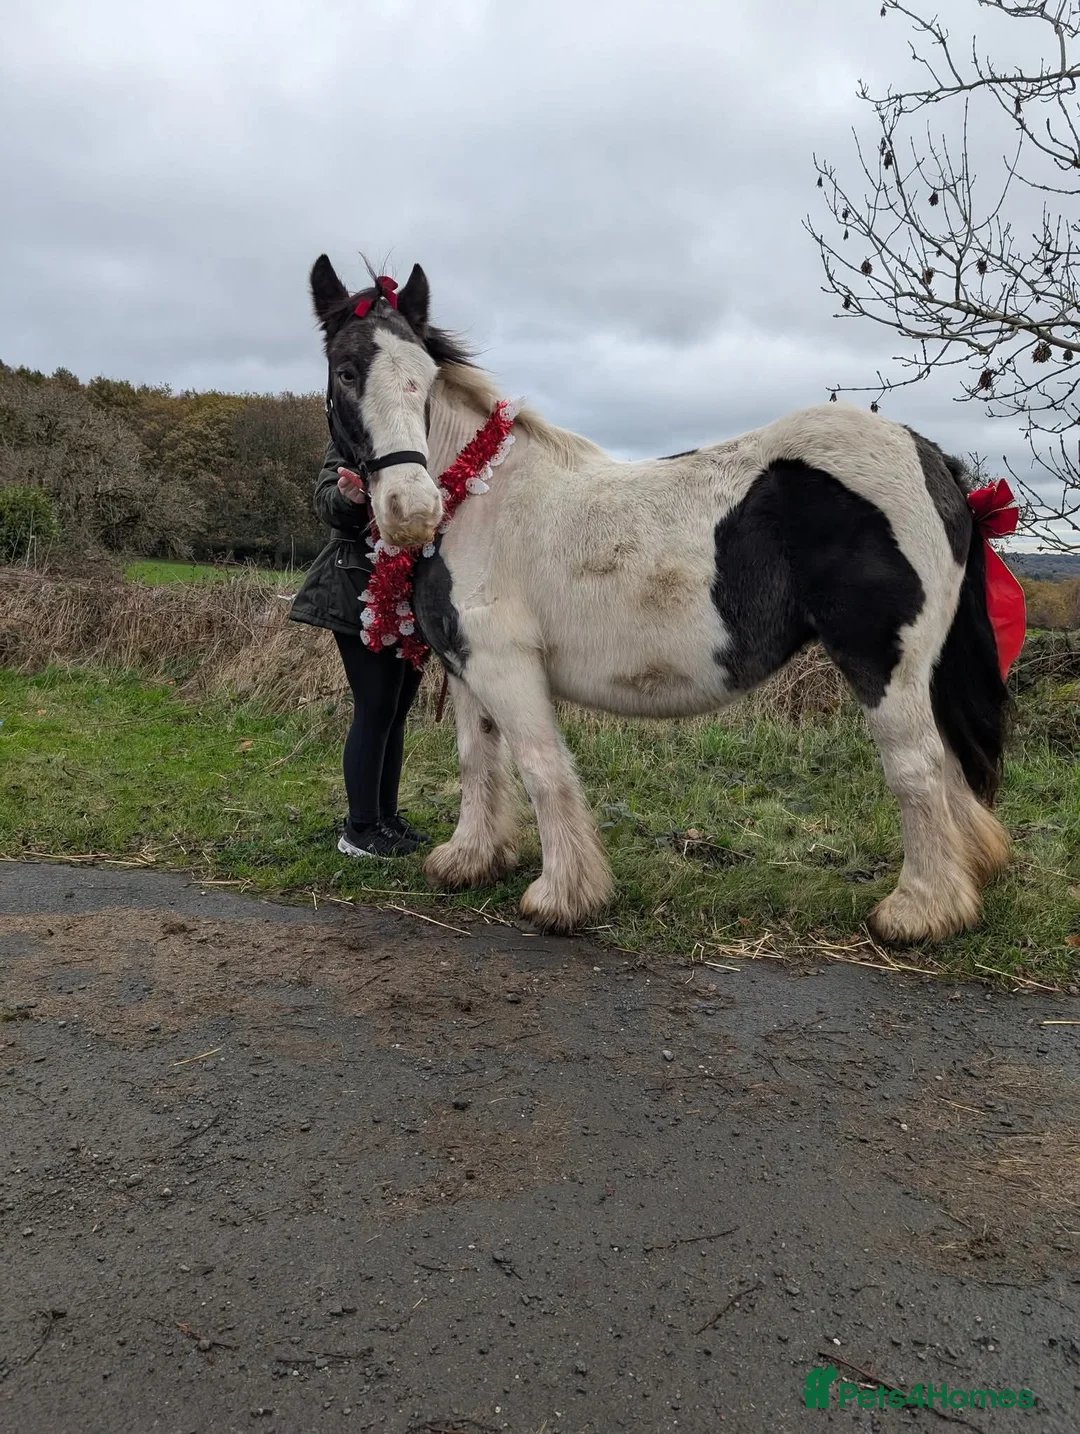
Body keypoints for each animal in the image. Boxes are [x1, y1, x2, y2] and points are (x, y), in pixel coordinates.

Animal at [309, 254, 1011, 945]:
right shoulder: (466, 666)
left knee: (918, 765)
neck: (481, 492)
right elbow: (479, 759)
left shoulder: (506, 665)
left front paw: (563, 897)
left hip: (883, 664)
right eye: (346, 371)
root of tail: (933, 461)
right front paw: (472, 860)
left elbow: (541, 767)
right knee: (948, 764)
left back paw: (920, 911)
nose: (410, 510)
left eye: (423, 380)